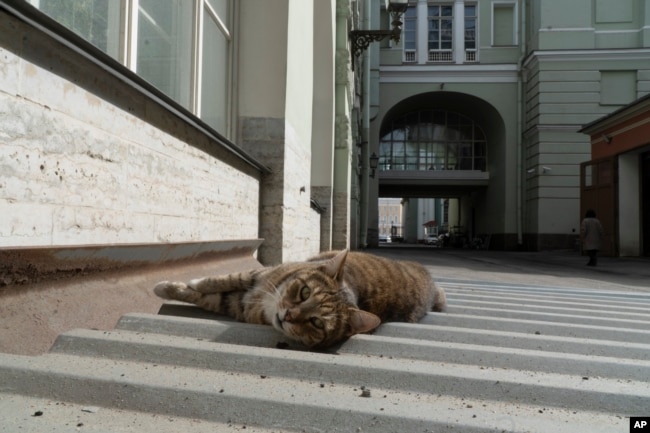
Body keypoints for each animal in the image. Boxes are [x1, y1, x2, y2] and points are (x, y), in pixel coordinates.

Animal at [153, 250, 446, 348]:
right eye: (304, 292)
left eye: (317, 323)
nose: (288, 315)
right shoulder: (259, 274)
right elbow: (223, 279)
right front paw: (173, 285)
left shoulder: (237, 306)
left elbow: (209, 297)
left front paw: (170, 287)